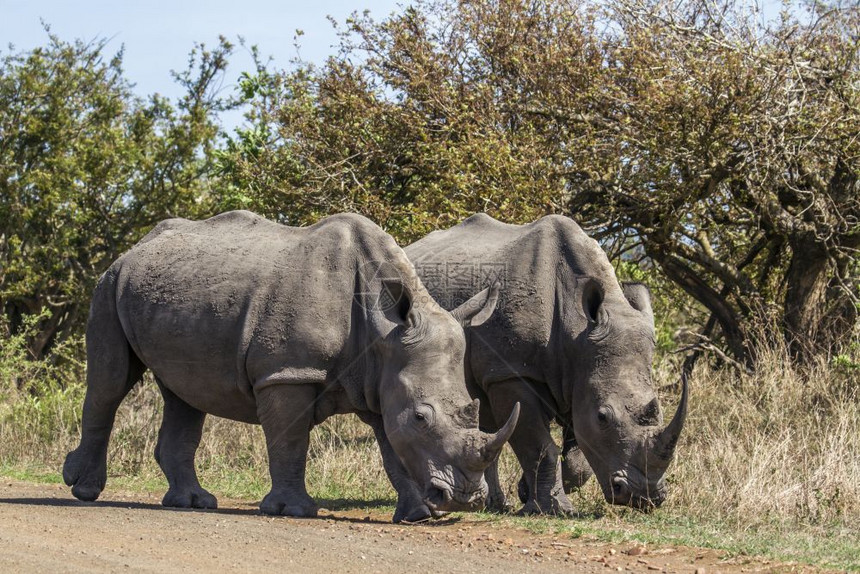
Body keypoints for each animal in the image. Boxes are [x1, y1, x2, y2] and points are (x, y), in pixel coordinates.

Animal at [63, 213, 516, 528]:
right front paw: (292, 511)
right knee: (110, 382)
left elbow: (392, 443)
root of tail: (134, 248)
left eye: (471, 408)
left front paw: (420, 514)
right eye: (423, 417)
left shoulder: (381, 373)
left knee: (185, 394)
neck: (383, 330)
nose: (464, 499)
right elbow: (291, 439)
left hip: (173, 295)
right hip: (109, 285)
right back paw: (83, 488)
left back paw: (193, 502)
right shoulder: (288, 372)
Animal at [406, 214, 688, 516]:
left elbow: (578, 456)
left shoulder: (578, 373)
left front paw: (525, 491)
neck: (577, 331)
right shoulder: (512, 372)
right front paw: (554, 509)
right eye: (603, 416)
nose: (643, 497)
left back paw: (495, 505)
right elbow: (538, 444)